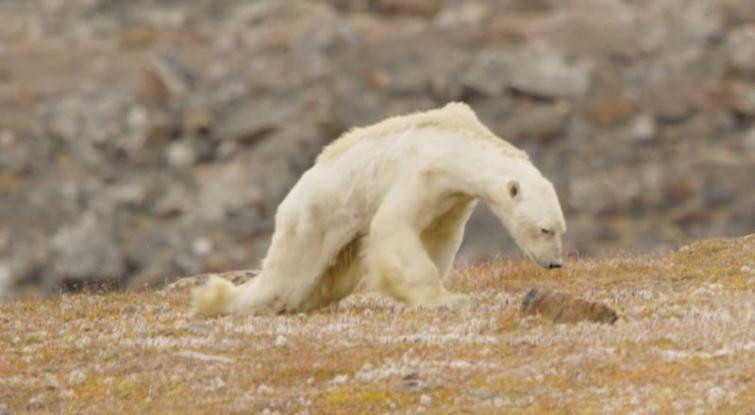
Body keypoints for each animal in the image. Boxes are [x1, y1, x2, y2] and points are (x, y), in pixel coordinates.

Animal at [192, 102, 564, 316]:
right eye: (544, 229)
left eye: (560, 229)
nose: (555, 263)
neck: (457, 143)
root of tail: (289, 200)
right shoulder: (422, 173)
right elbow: (393, 225)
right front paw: (444, 298)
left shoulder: (453, 199)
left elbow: (440, 237)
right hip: (314, 219)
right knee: (286, 279)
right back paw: (217, 300)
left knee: (327, 281)